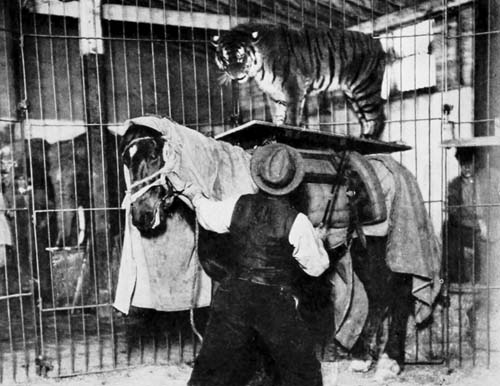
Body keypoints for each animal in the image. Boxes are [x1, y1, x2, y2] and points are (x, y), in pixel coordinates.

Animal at [118, 114, 442, 380]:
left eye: (155, 155)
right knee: (377, 297)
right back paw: (364, 357)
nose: (141, 216)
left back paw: (390, 361)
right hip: (359, 251)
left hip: (378, 248)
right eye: (126, 161)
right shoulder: (225, 275)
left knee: (396, 294)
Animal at [213, 23, 388, 139]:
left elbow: (292, 111)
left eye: (241, 56)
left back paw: (369, 138)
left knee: (378, 117)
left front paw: (290, 128)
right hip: (352, 95)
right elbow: (277, 113)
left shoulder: (293, 85)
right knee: (366, 118)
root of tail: (377, 42)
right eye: (225, 58)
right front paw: (277, 126)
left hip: (365, 87)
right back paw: (363, 136)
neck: (259, 67)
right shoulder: (274, 92)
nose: (235, 75)